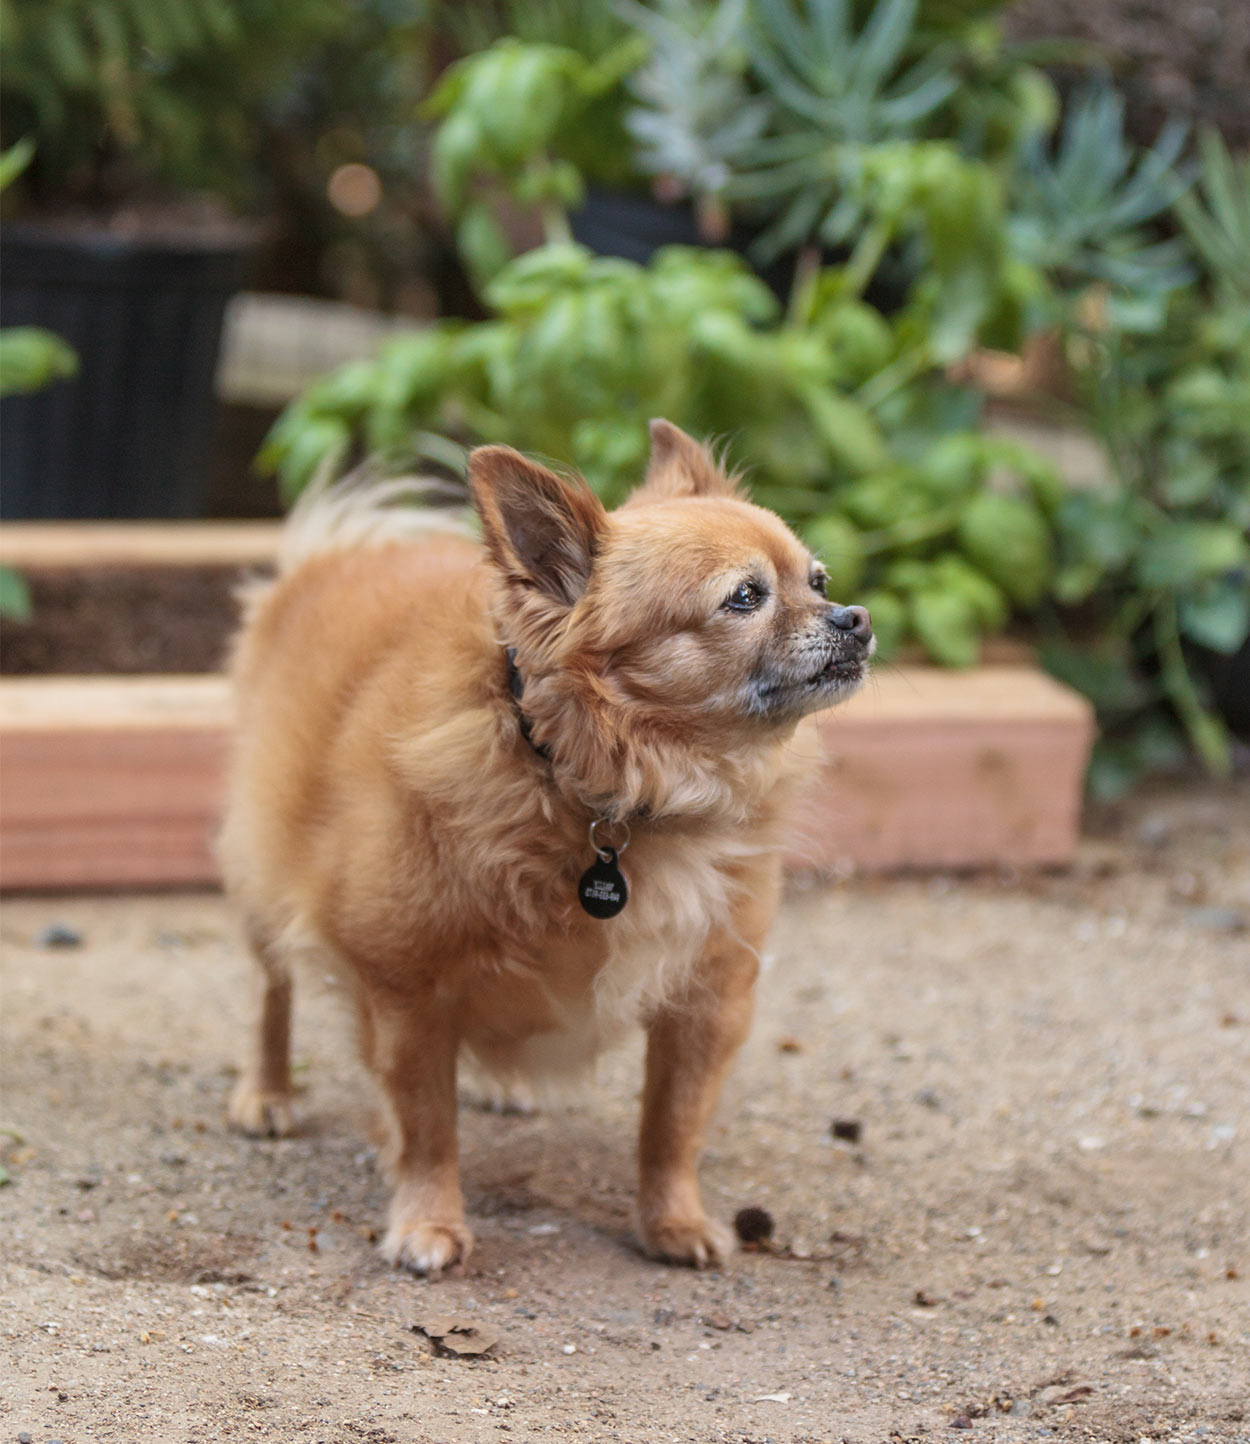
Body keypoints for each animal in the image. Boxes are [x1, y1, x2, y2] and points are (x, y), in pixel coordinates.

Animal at [219, 421, 871, 1276]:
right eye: (744, 597)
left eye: (818, 579)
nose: (855, 615)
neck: (619, 805)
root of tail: (334, 556)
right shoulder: (406, 988)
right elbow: (426, 1123)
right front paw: (428, 1220)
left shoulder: (710, 996)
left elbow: (673, 1122)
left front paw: (672, 1219)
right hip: (264, 876)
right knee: (271, 992)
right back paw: (266, 1094)